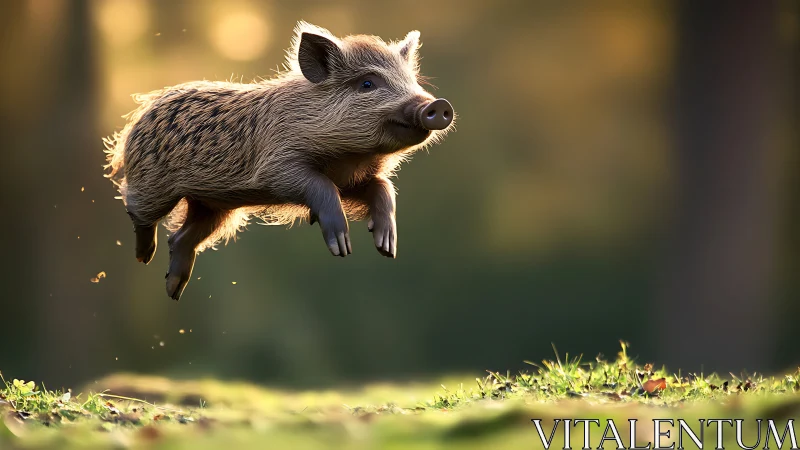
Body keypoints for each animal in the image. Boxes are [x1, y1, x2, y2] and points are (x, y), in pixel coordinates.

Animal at [103, 21, 455, 301]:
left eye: (410, 81)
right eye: (367, 83)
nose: (437, 104)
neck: (349, 157)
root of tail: (139, 114)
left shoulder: (355, 180)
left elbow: (383, 189)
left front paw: (387, 248)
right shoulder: (277, 166)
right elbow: (319, 186)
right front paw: (342, 249)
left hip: (214, 206)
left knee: (181, 237)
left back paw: (173, 291)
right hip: (154, 183)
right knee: (135, 207)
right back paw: (144, 257)